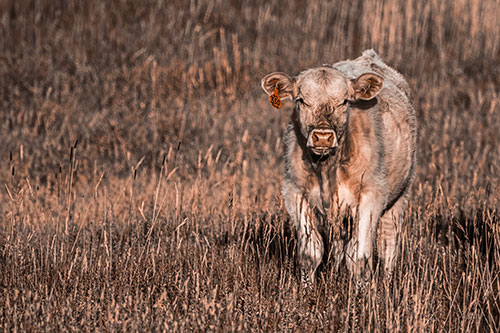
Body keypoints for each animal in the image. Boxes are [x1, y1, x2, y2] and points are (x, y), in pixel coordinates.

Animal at [260, 48, 416, 282]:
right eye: (301, 100)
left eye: (344, 101)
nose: (323, 137)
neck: (326, 170)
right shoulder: (296, 193)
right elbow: (310, 254)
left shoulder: (371, 195)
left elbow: (359, 257)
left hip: (400, 195)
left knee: (388, 243)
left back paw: (388, 281)